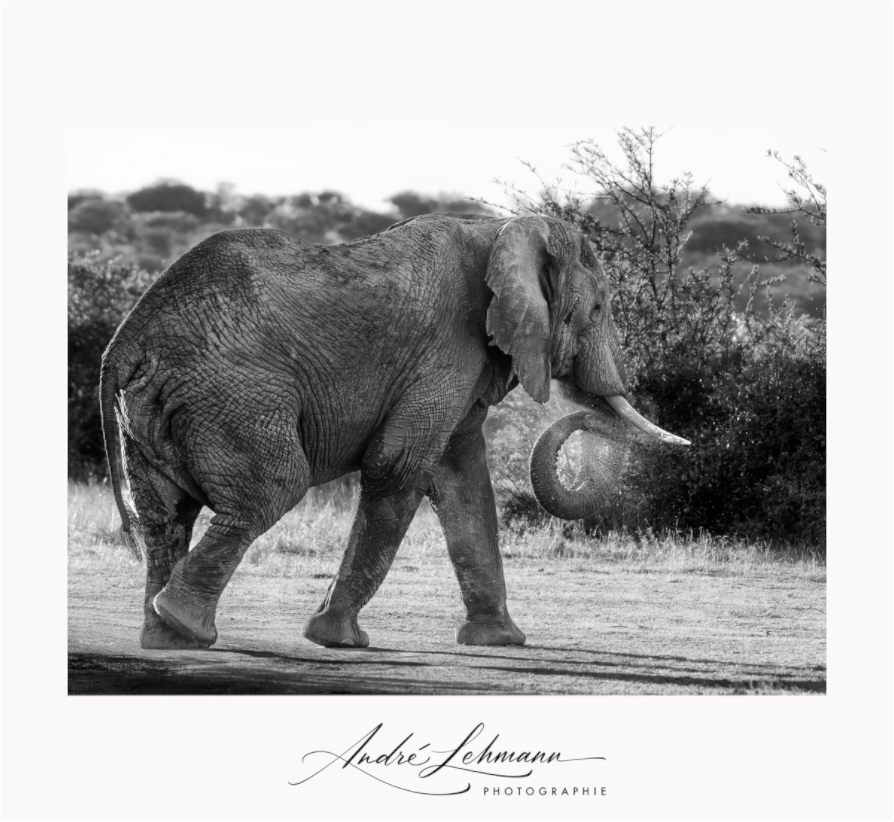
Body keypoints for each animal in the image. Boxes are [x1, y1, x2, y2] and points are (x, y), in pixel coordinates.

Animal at [100, 213, 688, 651]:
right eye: (597, 308)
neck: (502, 229)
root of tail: (125, 341)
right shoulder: (448, 345)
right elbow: (398, 465)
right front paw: (338, 641)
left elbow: (464, 481)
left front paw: (500, 642)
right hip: (234, 395)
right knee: (271, 490)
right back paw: (184, 625)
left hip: (155, 406)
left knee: (164, 516)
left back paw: (167, 640)